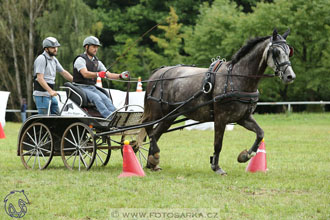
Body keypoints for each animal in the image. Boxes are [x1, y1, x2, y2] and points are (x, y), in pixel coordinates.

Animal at [142, 28, 296, 175]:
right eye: (276, 51)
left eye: (289, 51)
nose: (290, 76)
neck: (237, 77)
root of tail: (156, 74)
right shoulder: (220, 118)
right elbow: (218, 143)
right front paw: (216, 167)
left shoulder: (243, 117)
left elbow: (260, 133)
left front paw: (244, 156)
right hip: (157, 111)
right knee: (148, 128)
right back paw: (154, 157)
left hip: (170, 116)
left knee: (155, 133)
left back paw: (152, 162)